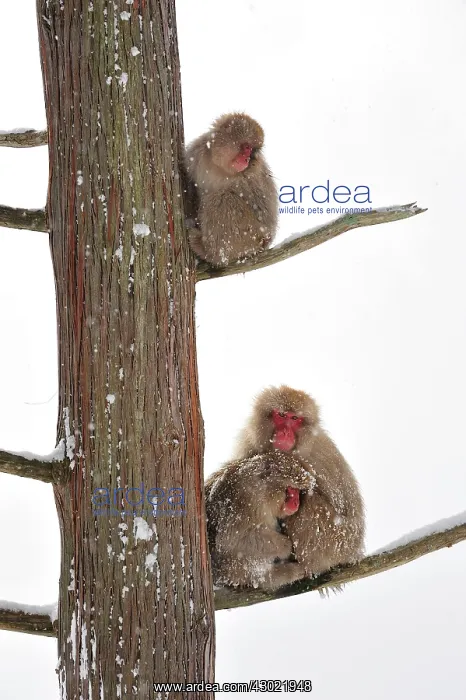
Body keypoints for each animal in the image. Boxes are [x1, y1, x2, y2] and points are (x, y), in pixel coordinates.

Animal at [185, 113, 278, 267]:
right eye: (246, 147)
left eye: (251, 150)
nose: (247, 159)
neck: (219, 167)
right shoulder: (194, 154)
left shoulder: (250, 178)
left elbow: (264, 212)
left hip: (251, 238)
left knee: (223, 199)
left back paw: (209, 253)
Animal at [205, 452, 315, 590]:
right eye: (291, 490)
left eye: (298, 491)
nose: (297, 503)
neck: (264, 492)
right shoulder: (248, 502)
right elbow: (232, 540)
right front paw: (286, 546)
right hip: (234, 570)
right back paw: (279, 575)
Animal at [233, 386, 365, 577]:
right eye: (281, 415)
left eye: (295, 419)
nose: (285, 433)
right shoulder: (249, 446)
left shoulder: (316, 454)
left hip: (339, 542)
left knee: (309, 504)